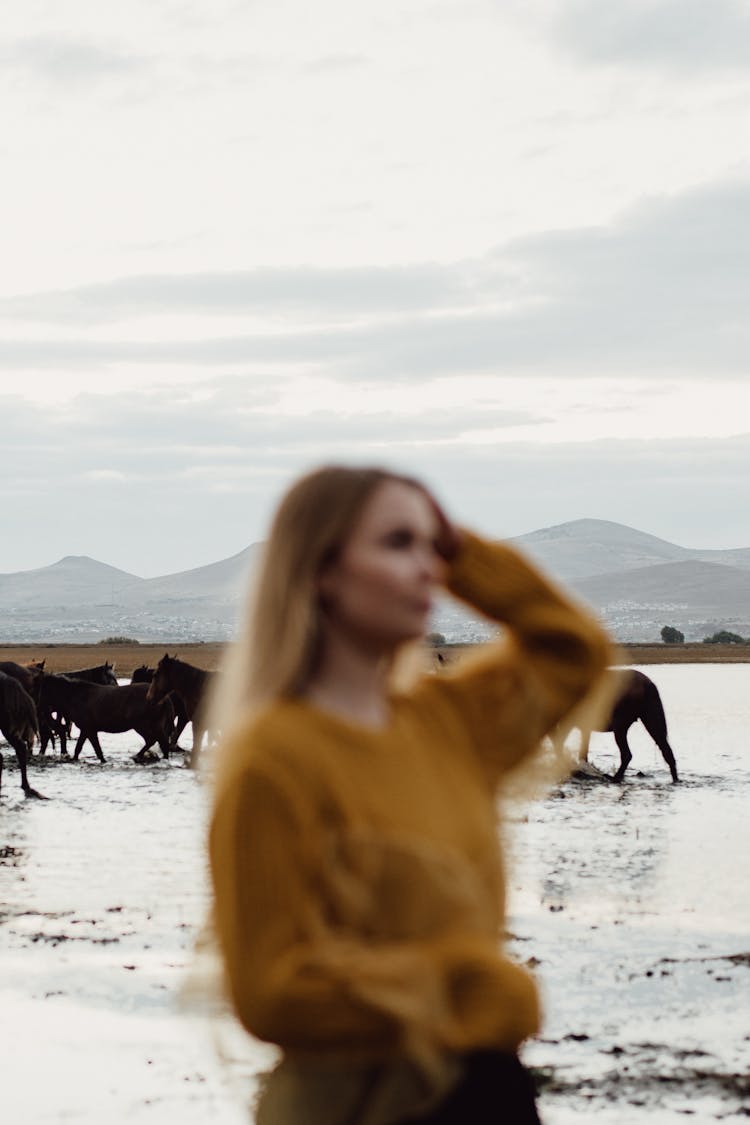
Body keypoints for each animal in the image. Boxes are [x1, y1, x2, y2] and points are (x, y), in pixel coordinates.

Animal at [38, 670, 174, 760]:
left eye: (38, 687)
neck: (76, 696)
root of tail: (165, 698)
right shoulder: (87, 730)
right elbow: (82, 749)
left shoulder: (89, 729)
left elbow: (94, 749)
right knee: (160, 742)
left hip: (142, 725)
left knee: (154, 740)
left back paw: (138, 756)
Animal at [550, 666, 679, 783]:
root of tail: (649, 686)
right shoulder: (584, 727)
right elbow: (582, 754)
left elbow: (560, 746)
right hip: (652, 719)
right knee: (667, 751)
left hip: (621, 724)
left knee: (627, 754)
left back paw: (614, 777)